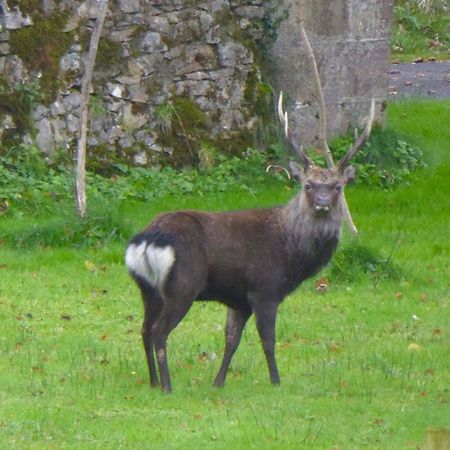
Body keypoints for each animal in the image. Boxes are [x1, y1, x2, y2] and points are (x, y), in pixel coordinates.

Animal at [125, 90, 374, 390]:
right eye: (308, 185)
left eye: (338, 186)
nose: (323, 204)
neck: (292, 256)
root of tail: (147, 240)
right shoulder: (264, 289)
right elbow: (268, 340)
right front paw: (276, 381)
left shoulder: (239, 300)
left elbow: (231, 341)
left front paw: (218, 382)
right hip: (182, 285)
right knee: (159, 331)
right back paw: (167, 386)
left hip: (148, 288)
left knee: (144, 329)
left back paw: (152, 382)